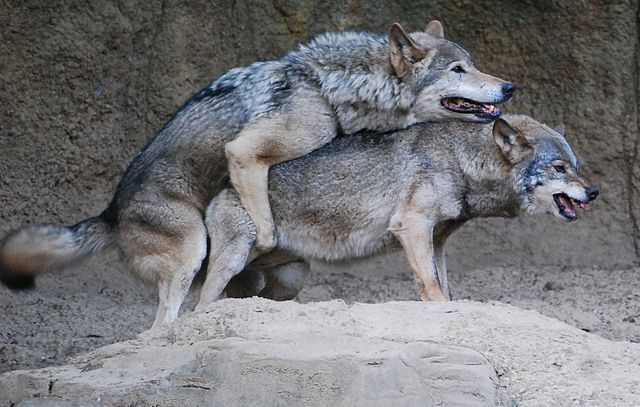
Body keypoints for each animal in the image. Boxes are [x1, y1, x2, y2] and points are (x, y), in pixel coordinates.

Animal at [0, 21, 514, 329]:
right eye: (459, 69)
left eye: (473, 64)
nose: (509, 86)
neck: (328, 89)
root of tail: (108, 213)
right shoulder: (245, 152)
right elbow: (263, 221)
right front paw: (263, 234)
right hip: (192, 250)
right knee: (170, 320)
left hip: (292, 275)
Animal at [198, 115, 599, 304]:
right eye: (559, 168)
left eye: (575, 165)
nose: (593, 192)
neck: (459, 160)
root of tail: (221, 188)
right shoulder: (412, 226)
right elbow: (432, 289)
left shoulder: (437, 240)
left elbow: (445, 290)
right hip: (235, 260)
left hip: (291, 278)